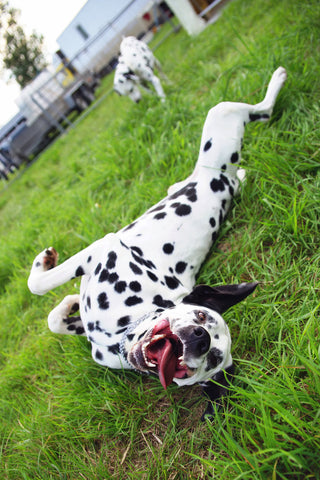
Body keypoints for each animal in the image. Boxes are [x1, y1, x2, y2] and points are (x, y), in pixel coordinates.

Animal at [28, 65, 288, 418]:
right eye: (202, 316)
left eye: (213, 359)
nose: (200, 338)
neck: (121, 335)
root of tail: (226, 179)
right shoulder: (101, 257)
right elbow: (53, 312)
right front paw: (65, 297)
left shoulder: (101, 253)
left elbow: (37, 287)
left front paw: (49, 273)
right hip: (211, 139)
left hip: (222, 117)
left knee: (262, 111)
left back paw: (277, 80)